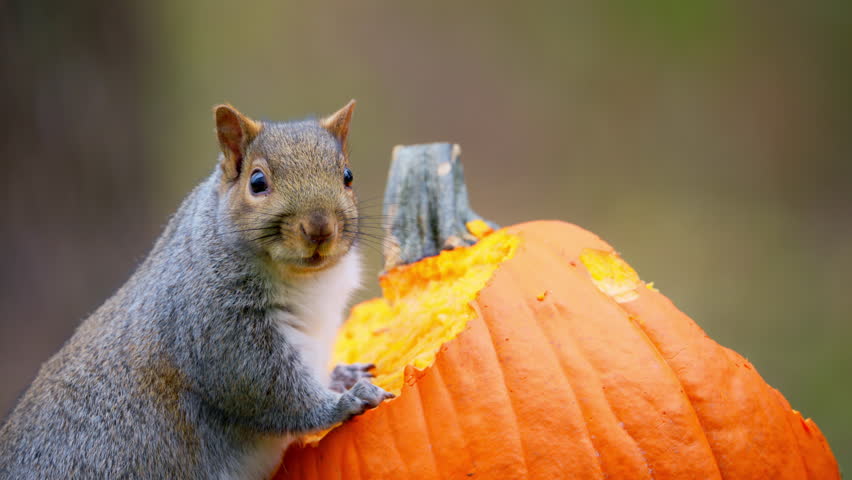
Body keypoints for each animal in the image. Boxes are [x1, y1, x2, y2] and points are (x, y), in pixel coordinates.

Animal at [0, 101, 393, 479]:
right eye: (257, 182)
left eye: (347, 176)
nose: (319, 228)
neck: (306, 280)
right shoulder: (217, 329)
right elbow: (271, 393)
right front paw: (345, 402)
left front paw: (343, 376)